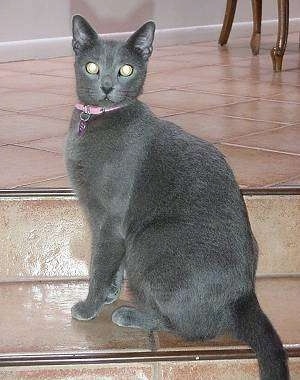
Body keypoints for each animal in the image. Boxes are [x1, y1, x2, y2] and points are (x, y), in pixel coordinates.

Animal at [65, 15, 288, 380]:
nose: (108, 86)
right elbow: (111, 264)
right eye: (91, 66)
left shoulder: (110, 219)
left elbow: (99, 263)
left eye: (126, 69)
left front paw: (89, 305)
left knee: (194, 327)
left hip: (149, 239)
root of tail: (246, 293)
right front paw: (110, 292)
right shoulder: (103, 221)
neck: (97, 119)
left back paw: (131, 315)